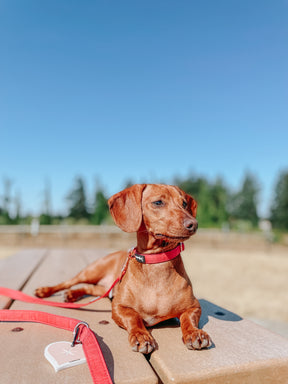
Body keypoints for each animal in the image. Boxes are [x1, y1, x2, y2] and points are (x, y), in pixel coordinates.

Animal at [35, 184, 212, 352]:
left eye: (184, 203)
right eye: (158, 202)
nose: (193, 224)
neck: (156, 262)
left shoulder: (194, 307)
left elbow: (187, 318)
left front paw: (194, 332)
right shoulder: (118, 307)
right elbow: (133, 317)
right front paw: (141, 335)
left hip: (104, 288)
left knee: (89, 289)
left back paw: (72, 294)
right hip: (90, 271)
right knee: (68, 282)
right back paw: (46, 290)